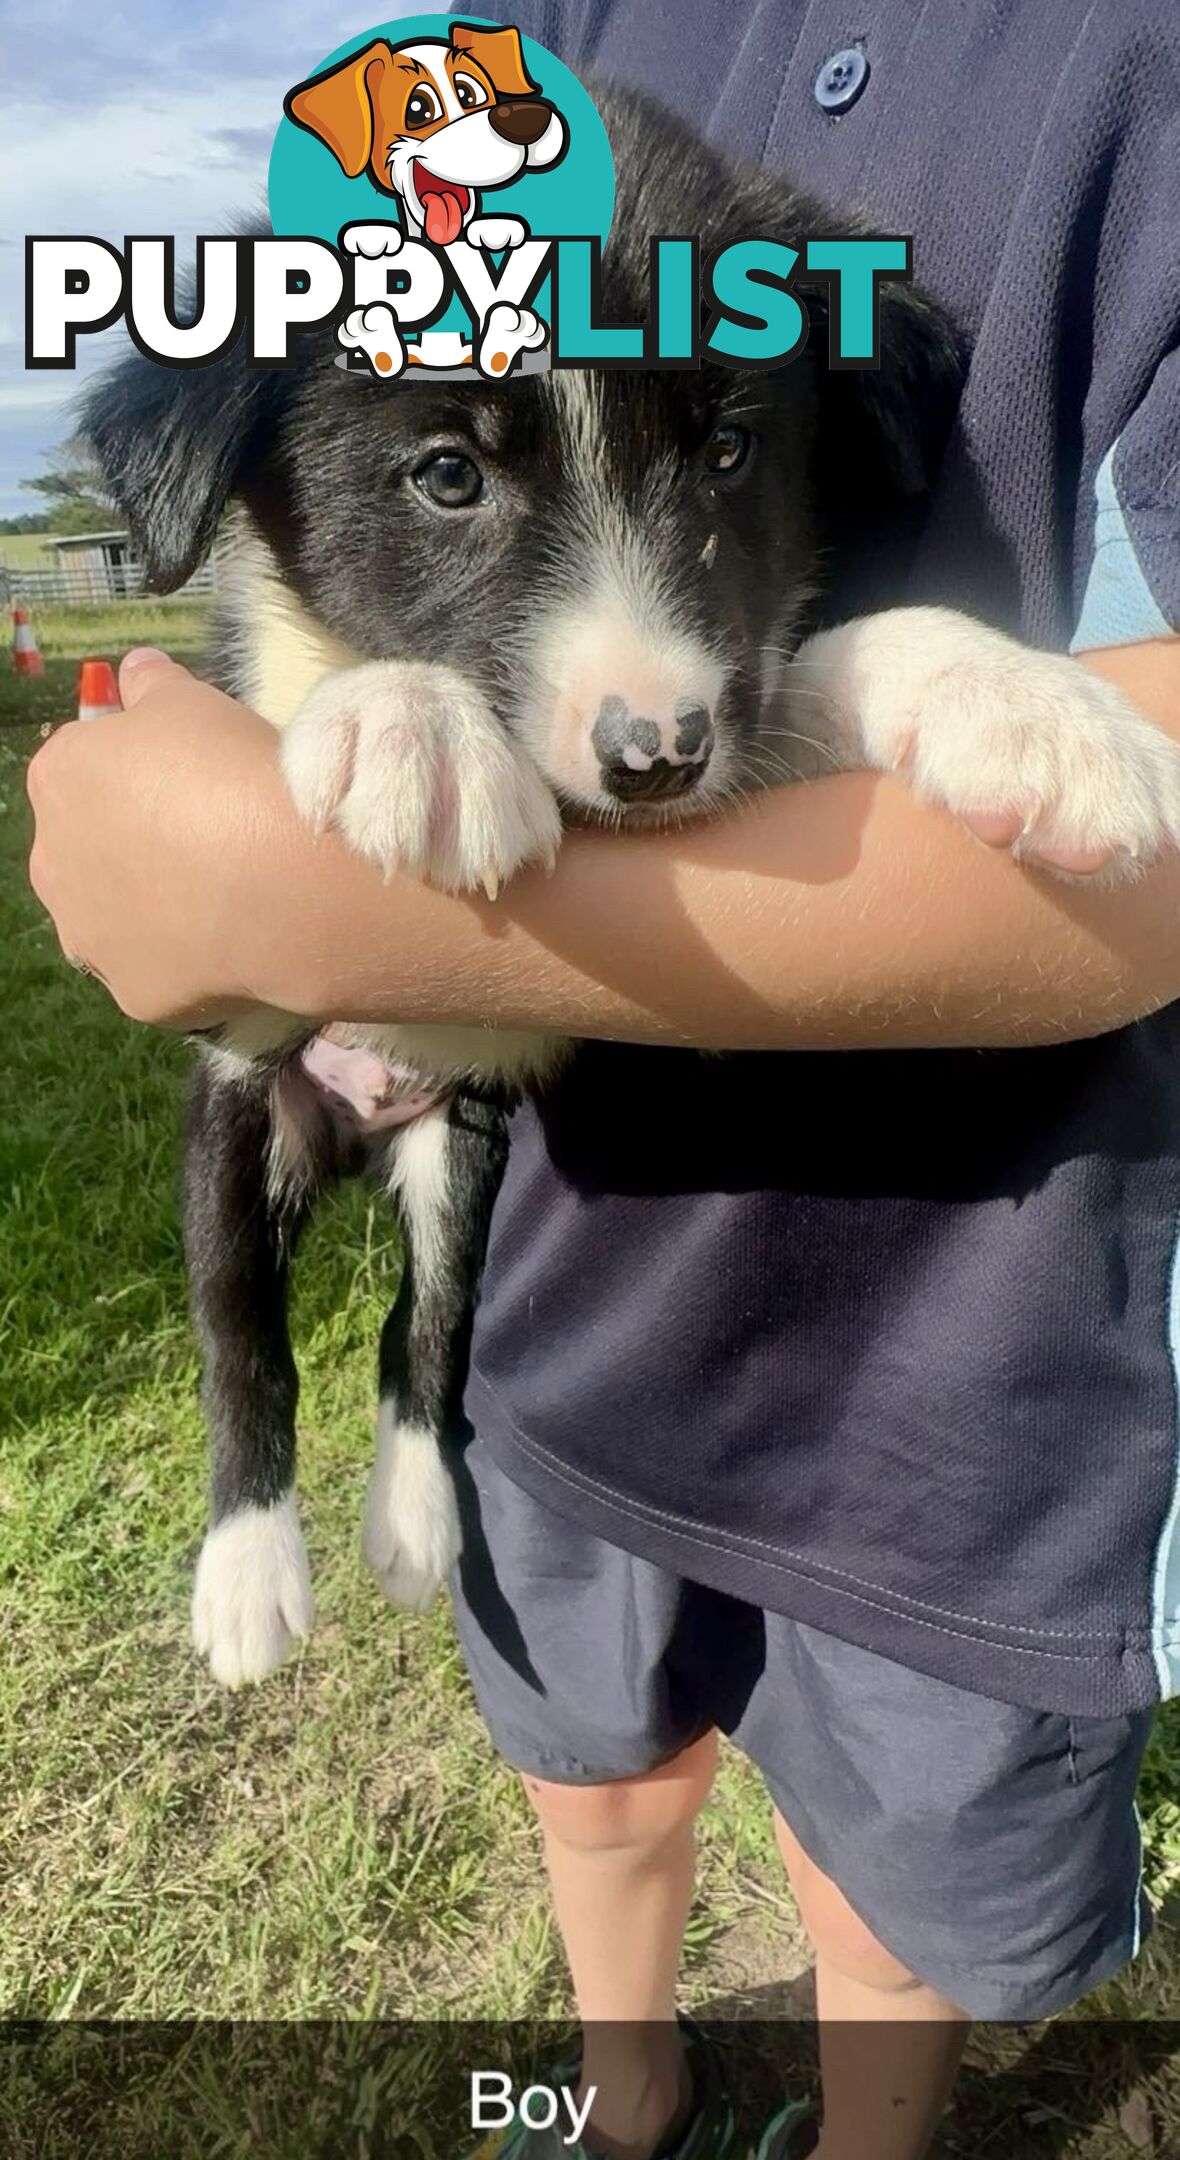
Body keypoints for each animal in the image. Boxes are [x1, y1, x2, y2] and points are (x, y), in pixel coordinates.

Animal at [87, 88, 1175, 1684]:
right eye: (448, 475)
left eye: (728, 452)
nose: (657, 758)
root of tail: (359, 1122)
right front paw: (403, 717)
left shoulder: (741, 705)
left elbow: (820, 661)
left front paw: (1031, 711)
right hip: (245, 1110)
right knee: (242, 1325)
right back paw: (248, 1573)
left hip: (461, 1149)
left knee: (423, 1327)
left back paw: (415, 1525)